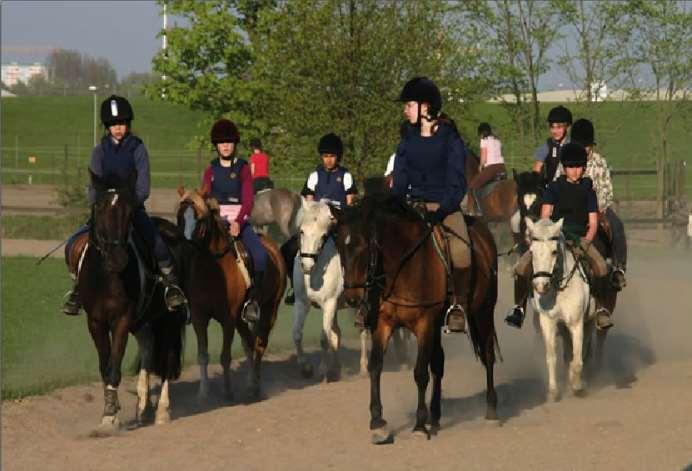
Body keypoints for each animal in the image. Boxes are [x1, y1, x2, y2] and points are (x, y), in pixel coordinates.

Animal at [178, 190, 290, 400]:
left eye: (200, 219)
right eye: (180, 216)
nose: (186, 249)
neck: (212, 269)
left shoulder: (228, 319)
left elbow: (225, 356)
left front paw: (227, 391)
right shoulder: (199, 318)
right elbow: (203, 355)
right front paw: (203, 392)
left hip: (270, 309)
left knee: (260, 344)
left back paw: (254, 386)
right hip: (242, 318)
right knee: (249, 343)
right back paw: (251, 382)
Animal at [290, 198, 370, 380]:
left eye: (323, 236)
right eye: (302, 231)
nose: (306, 265)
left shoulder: (329, 304)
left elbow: (324, 338)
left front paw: (322, 369)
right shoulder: (301, 303)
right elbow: (297, 333)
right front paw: (305, 367)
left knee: (363, 331)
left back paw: (364, 368)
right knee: (339, 332)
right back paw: (337, 368)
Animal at [334, 194, 500, 444]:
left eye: (363, 246)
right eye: (339, 248)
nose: (351, 298)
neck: (403, 266)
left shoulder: (424, 323)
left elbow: (420, 373)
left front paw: (419, 426)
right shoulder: (384, 323)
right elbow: (376, 367)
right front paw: (378, 423)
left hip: (483, 312)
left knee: (488, 356)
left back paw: (491, 412)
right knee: (439, 363)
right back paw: (436, 416)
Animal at [524, 218, 596, 402]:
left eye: (554, 251)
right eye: (532, 251)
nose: (541, 286)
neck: (560, 287)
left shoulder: (577, 323)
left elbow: (578, 358)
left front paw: (577, 385)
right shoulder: (548, 322)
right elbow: (552, 357)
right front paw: (553, 391)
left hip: (590, 321)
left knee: (584, 349)